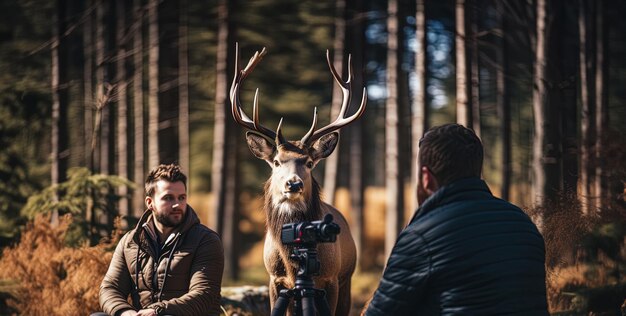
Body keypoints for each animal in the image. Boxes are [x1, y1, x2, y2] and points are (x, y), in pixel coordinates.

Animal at [229, 45, 366, 316]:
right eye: (276, 161)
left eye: (310, 162)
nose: (293, 184)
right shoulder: (275, 280)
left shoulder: (331, 279)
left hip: (347, 278)